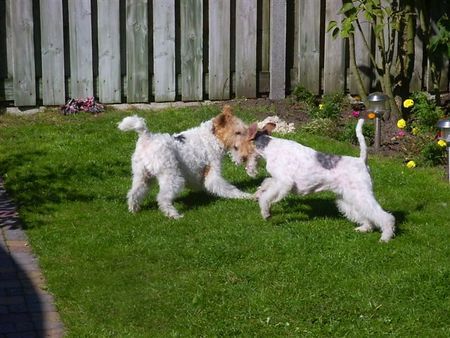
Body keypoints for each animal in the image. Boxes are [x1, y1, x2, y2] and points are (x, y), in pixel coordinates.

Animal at [118, 105, 253, 219]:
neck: (212, 137)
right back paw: (174, 215)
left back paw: (134, 209)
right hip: (173, 177)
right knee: (162, 198)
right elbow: (229, 189)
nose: (251, 140)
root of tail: (146, 138)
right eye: (237, 132)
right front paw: (247, 196)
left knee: (133, 193)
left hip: (142, 176)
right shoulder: (212, 173)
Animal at [243, 119, 394, 243]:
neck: (269, 148)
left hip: (361, 194)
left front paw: (265, 213)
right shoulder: (277, 180)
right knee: (366, 214)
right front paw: (257, 194)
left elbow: (266, 197)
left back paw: (385, 237)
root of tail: (362, 160)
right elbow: (266, 183)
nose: (248, 170)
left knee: (384, 216)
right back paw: (364, 228)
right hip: (348, 197)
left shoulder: (284, 182)